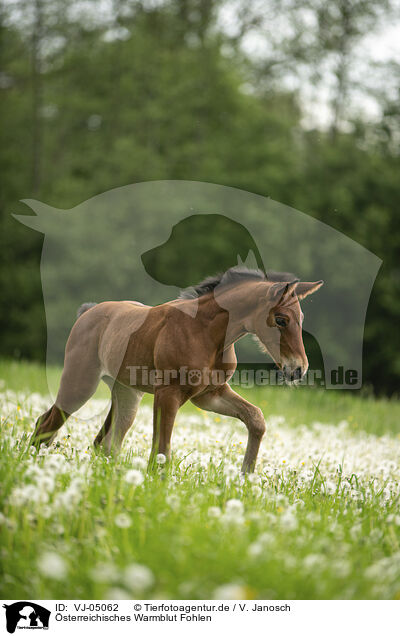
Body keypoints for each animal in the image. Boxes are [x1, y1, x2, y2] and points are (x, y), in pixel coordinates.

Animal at [32, 268, 324, 472]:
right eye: (281, 320)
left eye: (301, 318)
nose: (298, 369)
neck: (206, 332)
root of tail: (88, 312)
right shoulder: (168, 393)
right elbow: (161, 452)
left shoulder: (209, 395)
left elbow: (256, 419)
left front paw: (246, 477)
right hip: (80, 382)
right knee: (47, 424)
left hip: (128, 394)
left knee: (105, 443)